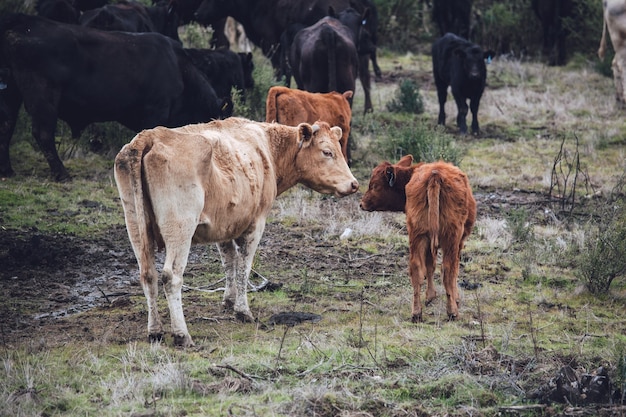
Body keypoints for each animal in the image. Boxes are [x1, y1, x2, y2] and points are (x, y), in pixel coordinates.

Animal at [0, 13, 229, 180]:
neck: (180, 69)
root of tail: (23, 21)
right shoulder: (156, 110)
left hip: (11, 93)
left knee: (7, 126)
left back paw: (7, 171)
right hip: (43, 96)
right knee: (43, 133)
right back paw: (62, 174)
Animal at [112, 116, 356, 344]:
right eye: (327, 152)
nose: (354, 184)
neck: (267, 148)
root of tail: (150, 136)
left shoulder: (223, 224)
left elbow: (229, 261)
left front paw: (229, 300)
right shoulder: (256, 223)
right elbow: (243, 267)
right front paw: (242, 310)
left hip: (135, 225)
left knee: (148, 275)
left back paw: (154, 331)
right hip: (180, 227)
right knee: (171, 277)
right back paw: (182, 334)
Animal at [358, 156, 476, 322]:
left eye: (374, 185)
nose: (361, 203)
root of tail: (435, 175)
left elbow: (429, 267)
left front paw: (430, 296)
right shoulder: (458, 241)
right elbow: (451, 269)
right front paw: (454, 298)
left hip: (417, 235)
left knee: (416, 269)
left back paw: (416, 313)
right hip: (450, 237)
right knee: (448, 269)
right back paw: (452, 311)